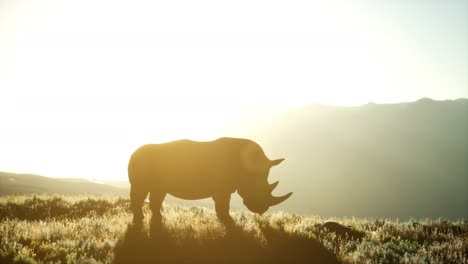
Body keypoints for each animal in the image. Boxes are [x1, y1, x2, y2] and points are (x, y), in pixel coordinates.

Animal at [128, 137, 292, 226]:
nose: (261, 210)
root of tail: (133, 153)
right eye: (253, 188)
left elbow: (223, 206)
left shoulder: (226, 187)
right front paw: (228, 222)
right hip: (141, 161)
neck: (247, 169)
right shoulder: (221, 189)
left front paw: (226, 221)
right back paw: (139, 220)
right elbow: (223, 206)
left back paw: (158, 219)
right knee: (140, 191)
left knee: (158, 191)